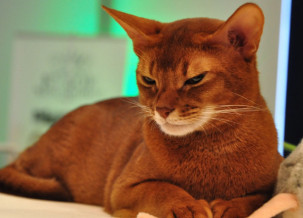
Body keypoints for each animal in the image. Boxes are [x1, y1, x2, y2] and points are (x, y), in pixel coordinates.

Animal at [0, 3, 282, 218]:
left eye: (195, 79)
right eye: (149, 80)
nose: (162, 109)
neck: (212, 148)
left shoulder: (273, 182)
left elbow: (260, 198)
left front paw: (232, 206)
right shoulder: (123, 188)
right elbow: (161, 188)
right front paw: (187, 206)